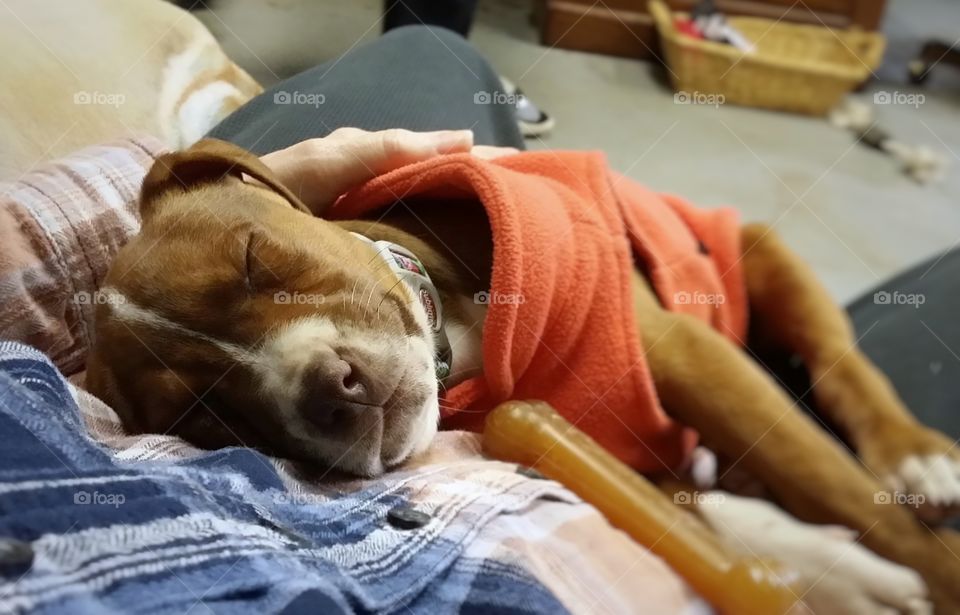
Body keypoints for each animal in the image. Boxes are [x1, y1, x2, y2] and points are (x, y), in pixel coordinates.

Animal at [84, 141, 960, 615]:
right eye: (206, 419)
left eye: (252, 256)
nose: (331, 389)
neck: (465, 343)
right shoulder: (604, 447)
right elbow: (691, 504)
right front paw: (839, 575)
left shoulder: (685, 353)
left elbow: (838, 487)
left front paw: (935, 575)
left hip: (757, 253)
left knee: (842, 366)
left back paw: (916, 452)